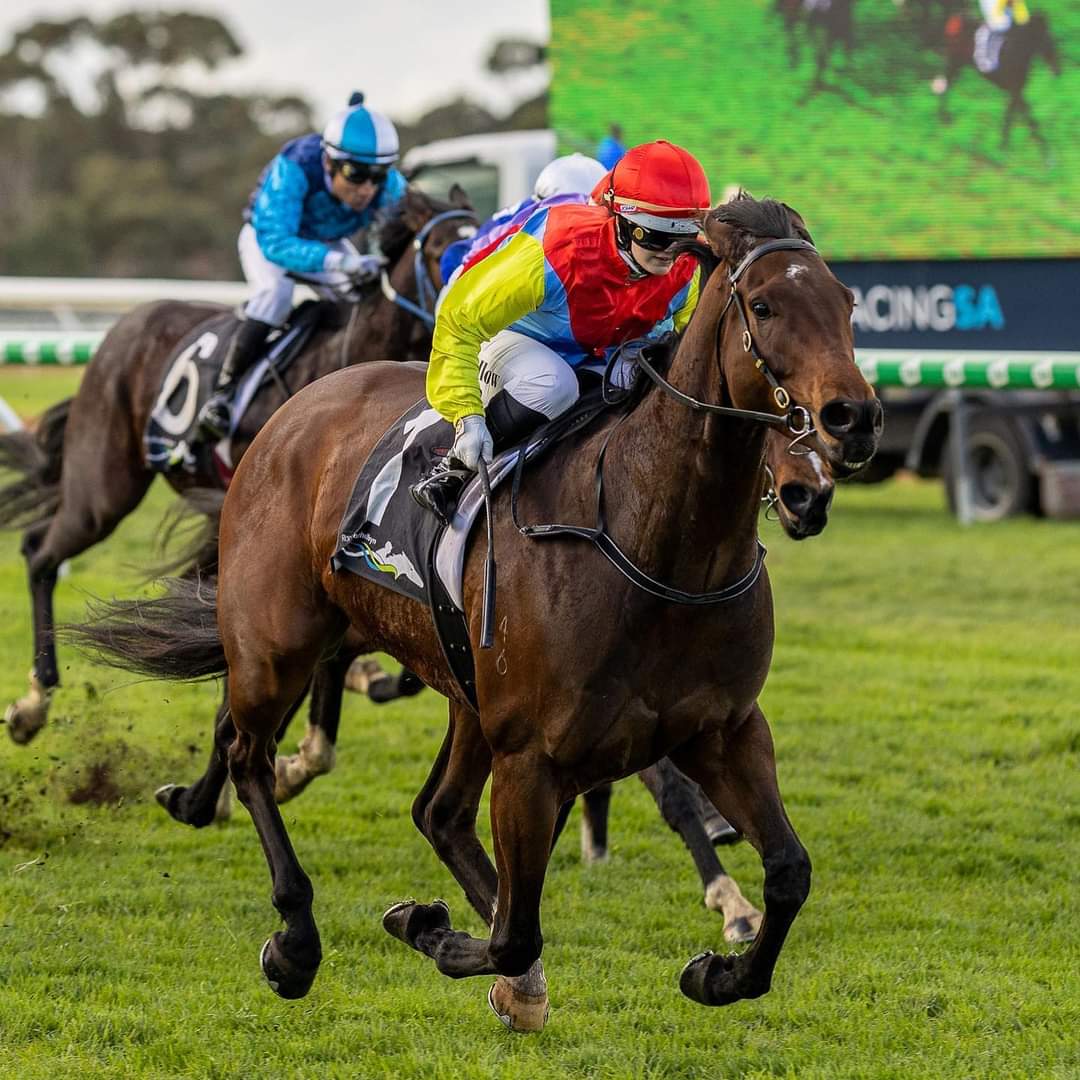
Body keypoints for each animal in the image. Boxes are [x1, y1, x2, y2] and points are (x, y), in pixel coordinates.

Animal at [67, 193, 881, 1030]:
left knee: (435, 810)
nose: (852, 419)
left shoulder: (723, 731)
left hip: (456, 688)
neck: (652, 541)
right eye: (765, 305)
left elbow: (788, 871)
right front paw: (430, 928)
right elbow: (515, 933)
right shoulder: (532, 756)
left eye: (846, 304)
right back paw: (293, 936)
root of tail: (300, 407)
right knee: (249, 751)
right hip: (276, 639)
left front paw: (719, 970)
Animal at [935, 11, 1061, 154]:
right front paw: (1045, 151)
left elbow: (1014, 114)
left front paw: (1004, 145)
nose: (1057, 69)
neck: (1016, 52)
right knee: (944, 86)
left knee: (945, 85)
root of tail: (955, 21)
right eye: (1047, 39)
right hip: (954, 63)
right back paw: (945, 118)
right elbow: (1026, 117)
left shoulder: (1017, 91)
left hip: (956, 65)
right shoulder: (1015, 91)